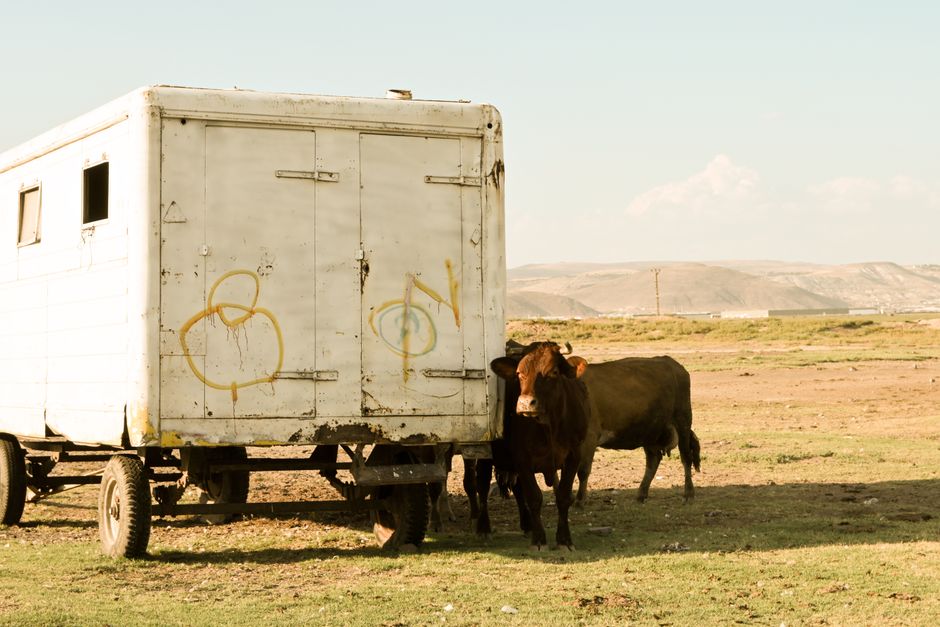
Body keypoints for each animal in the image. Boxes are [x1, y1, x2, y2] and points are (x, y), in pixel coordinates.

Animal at [490, 342, 591, 550]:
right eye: (519, 373)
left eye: (553, 372)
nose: (525, 403)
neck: (549, 425)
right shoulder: (522, 458)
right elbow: (534, 498)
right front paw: (539, 539)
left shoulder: (573, 455)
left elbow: (563, 496)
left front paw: (564, 539)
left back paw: (527, 525)